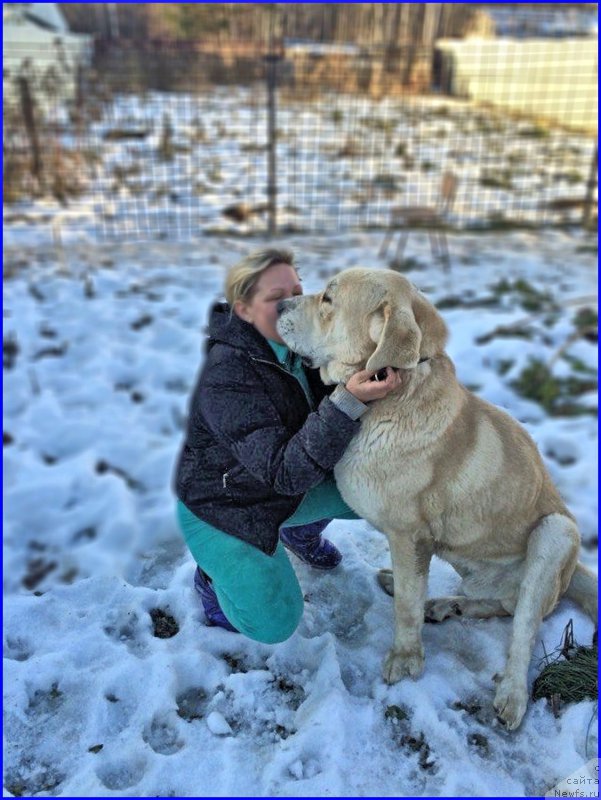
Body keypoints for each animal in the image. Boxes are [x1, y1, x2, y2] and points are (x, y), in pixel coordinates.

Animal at [276, 268, 596, 732]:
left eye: (329, 299)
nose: (279, 305)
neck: (393, 394)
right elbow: (412, 591)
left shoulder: (410, 535)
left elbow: (407, 610)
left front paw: (406, 659)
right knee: (499, 604)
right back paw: (445, 604)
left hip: (556, 532)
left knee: (525, 624)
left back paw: (512, 694)